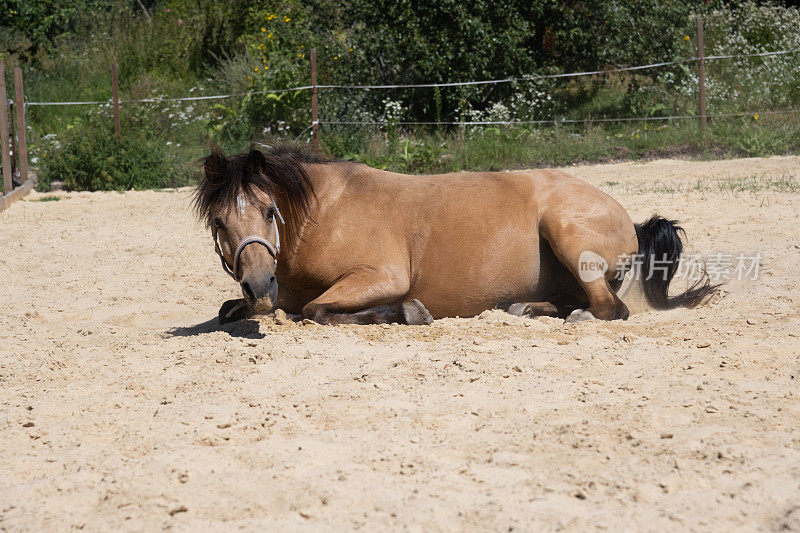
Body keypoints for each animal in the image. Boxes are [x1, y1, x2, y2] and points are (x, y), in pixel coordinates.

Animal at [192, 144, 712, 324]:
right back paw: (528, 308)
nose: (260, 286)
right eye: (219, 223)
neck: (323, 214)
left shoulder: (382, 276)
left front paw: (407, 313)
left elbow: (316, 311)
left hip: (566, 233)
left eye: (269, 210)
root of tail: (628, 221)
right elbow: (230, 310)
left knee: (608, 308)